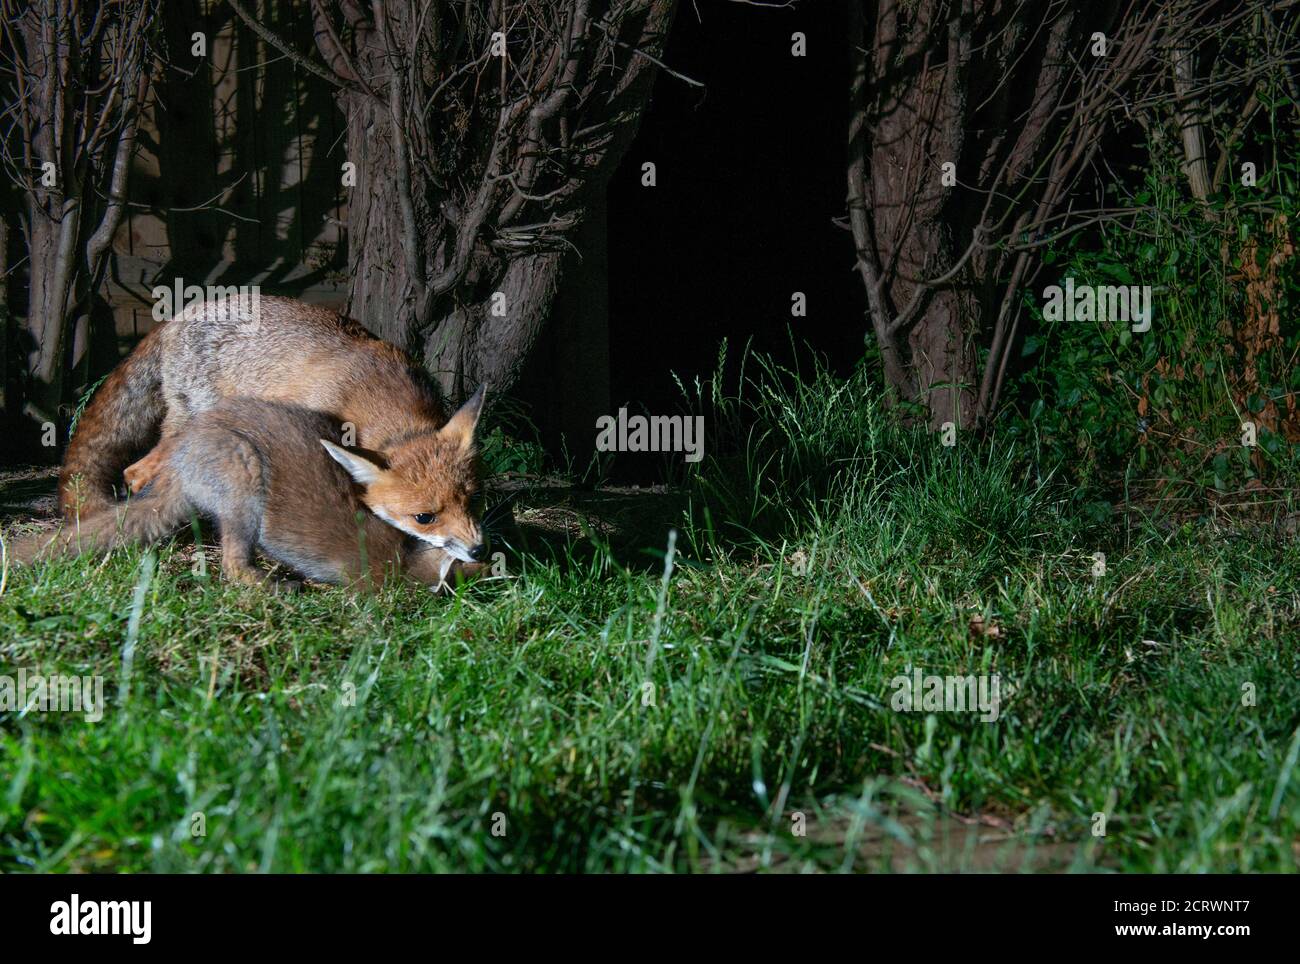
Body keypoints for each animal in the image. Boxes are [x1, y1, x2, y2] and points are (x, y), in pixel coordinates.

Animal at [13, 392, 488, 589]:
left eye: (473, 500)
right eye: (424, 517)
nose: (480, 549)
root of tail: (179, 462)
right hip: (245, 483)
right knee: (233, 567)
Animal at [58, 294, 488, 566]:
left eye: (473, 501)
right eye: (424, 517)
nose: (478, 551)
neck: (377, 394)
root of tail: (181, 312)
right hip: (197, 418)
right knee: (139, 472)